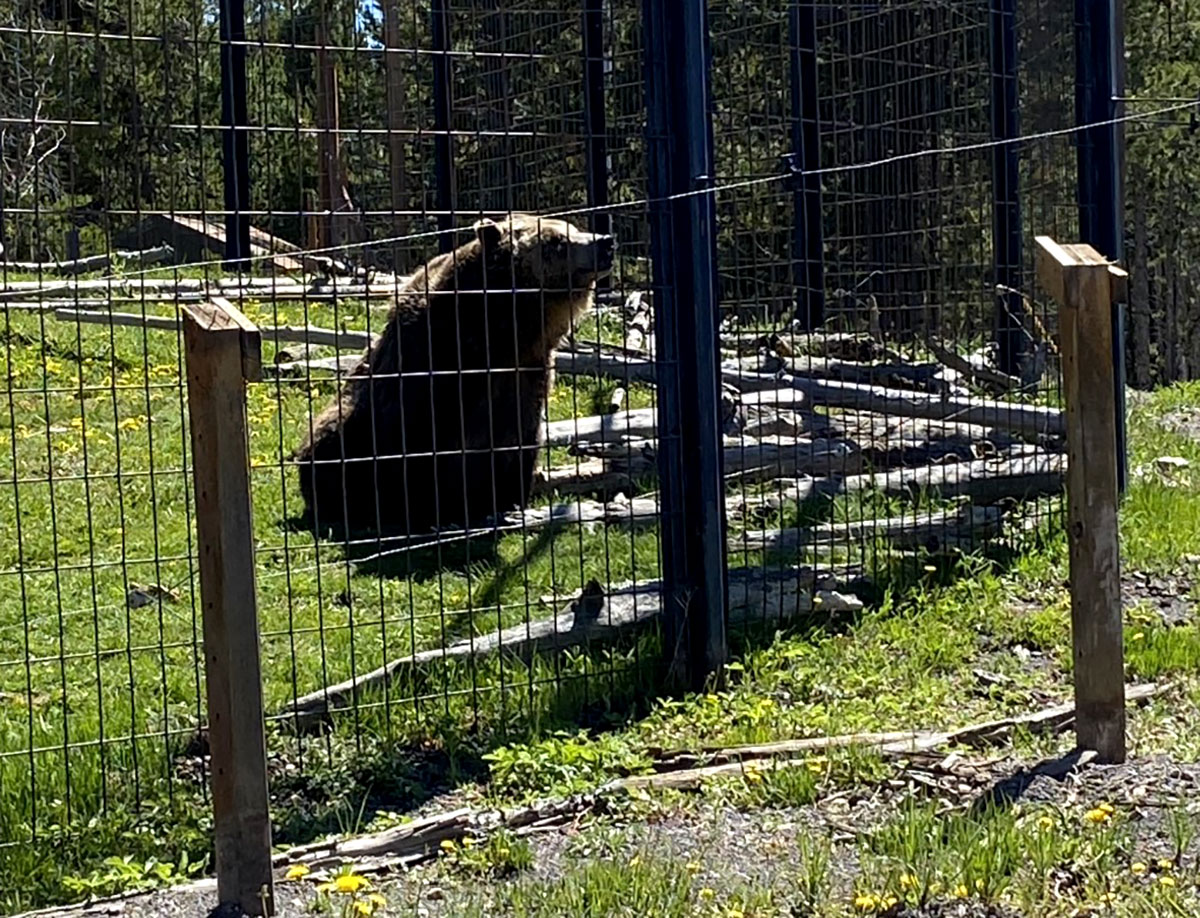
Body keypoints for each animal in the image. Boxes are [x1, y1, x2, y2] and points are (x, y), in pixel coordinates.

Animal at [289, 211, 609, 532]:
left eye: (572, 228)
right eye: (557, 241)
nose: (604, 241)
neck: (503, 337)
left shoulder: (528, 374)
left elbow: (519, 439)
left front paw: (509, 500)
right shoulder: (433, 367)